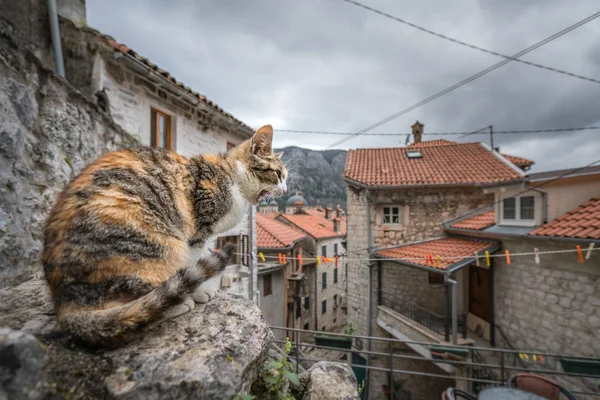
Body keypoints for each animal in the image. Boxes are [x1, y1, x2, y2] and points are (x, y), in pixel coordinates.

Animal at [41, 126, 288, 346]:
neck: (230, 175)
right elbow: (190, 260)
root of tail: (64, 304)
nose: (285, 190)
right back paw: (175, 303)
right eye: (278, 174)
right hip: (154, 240)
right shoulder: (198, 228)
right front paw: (199, 291)